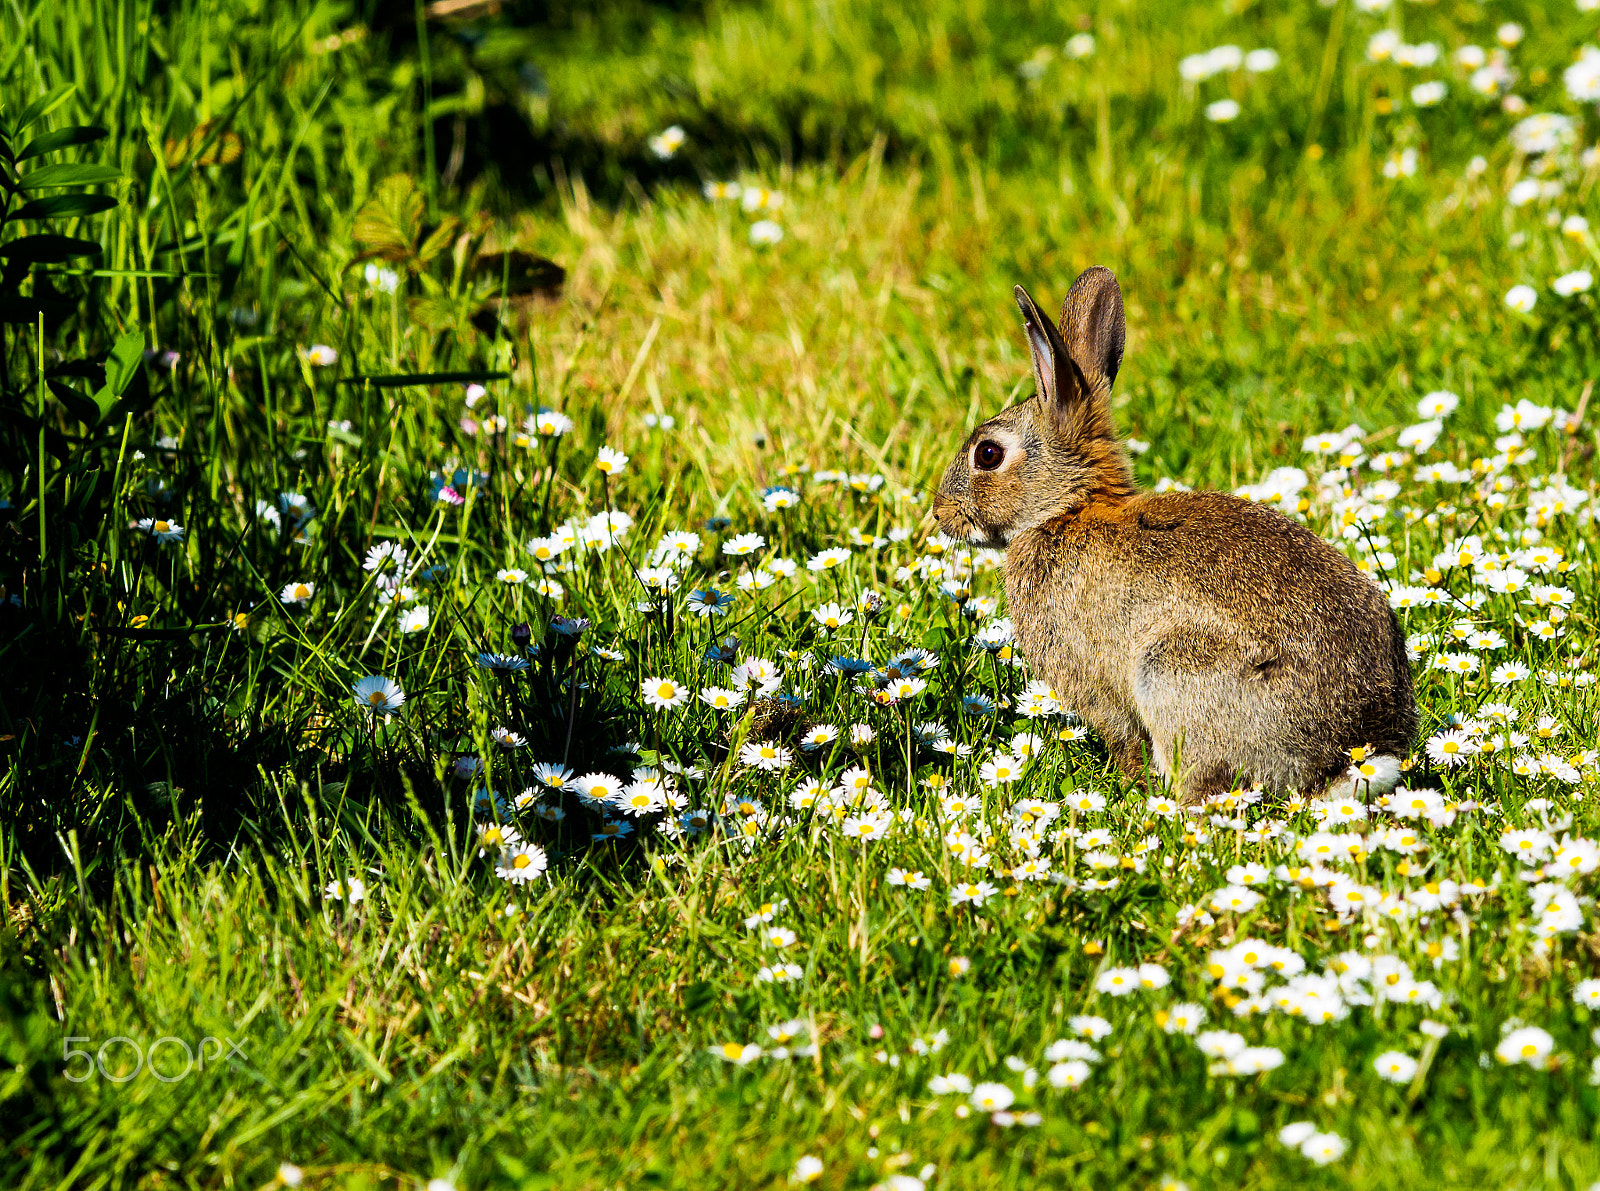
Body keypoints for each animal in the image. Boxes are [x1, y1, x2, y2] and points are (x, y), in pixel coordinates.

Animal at [934, 265, 1420, 803]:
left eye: (988, 454)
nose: (939, 513)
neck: (1066, 511)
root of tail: (1350, 754)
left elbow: (1122, 736)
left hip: (1170, 673)